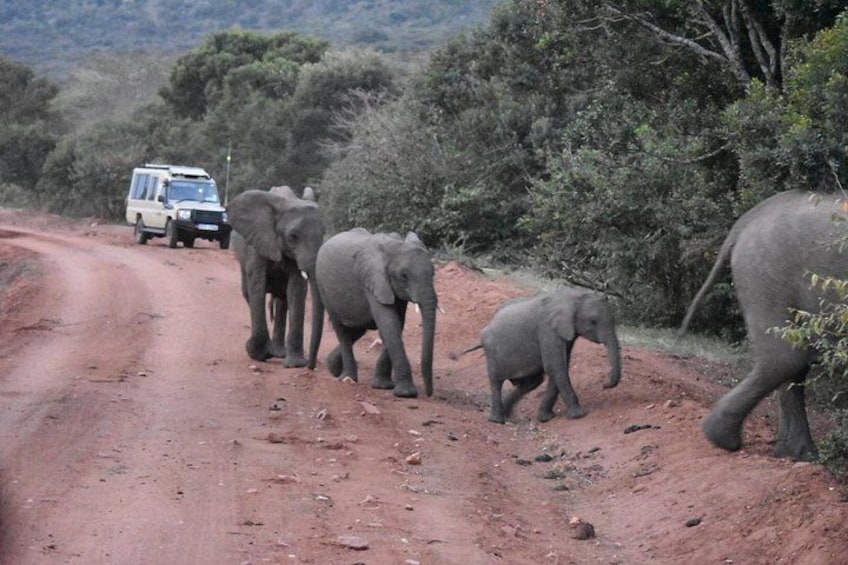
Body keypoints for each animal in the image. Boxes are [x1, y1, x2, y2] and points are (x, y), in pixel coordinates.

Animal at [227, 186, 325, 368]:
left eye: (324, 233)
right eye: (293, 236)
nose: (311, 365)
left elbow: (296, 289)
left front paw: (295, 365)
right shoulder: (257, 242)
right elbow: (257, 284)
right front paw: (258, 353)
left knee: (282, 300)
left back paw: (278, 353)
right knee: (248, 293)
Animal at [315, 228, 437, 398]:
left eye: (433, 274)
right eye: (404, 276)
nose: (429, 394)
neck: (395, 246)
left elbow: (397, 324)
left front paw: (382, 386)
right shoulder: (373, 280)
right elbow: (389, 324)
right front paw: (405, 394)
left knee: (357, 329)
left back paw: (333, 368)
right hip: (323, 288)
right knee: (342, 331)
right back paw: (347, 378)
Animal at [466, 286, 622, 424]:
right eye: (593, 321)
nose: (604, 385)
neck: (571, 297)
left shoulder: (563, 332)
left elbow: (559, 366)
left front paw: (546, 418)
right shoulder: (547, 330)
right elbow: (555, 366)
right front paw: (579, 415)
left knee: (532, 382)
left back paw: (507, 414)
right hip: (492, 353)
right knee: (496, 381)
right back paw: (497, 420)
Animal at [679, 189, 848, 461]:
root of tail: (744, 222)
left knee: (791, 361)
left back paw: (795, 454)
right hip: (766, 274)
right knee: (786, 358)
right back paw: (724, 440)